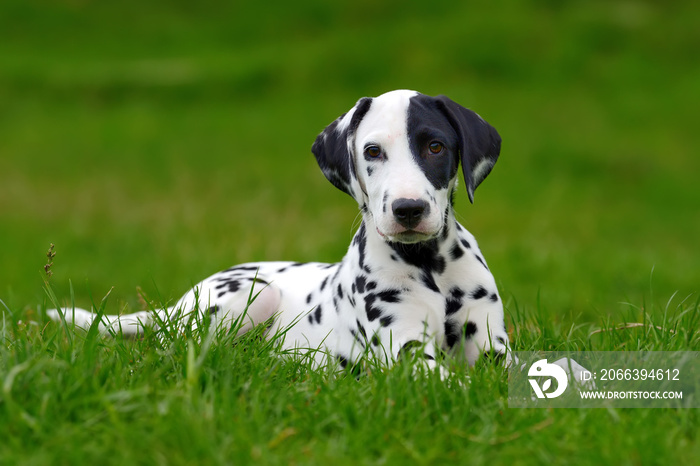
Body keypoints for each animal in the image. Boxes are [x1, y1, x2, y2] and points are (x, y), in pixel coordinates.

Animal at [47, 91, 508, 374]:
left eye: (435, 147)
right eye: (373, 151)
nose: (408, 209)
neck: (431, 266)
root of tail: (175, 307)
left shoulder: (490, 347)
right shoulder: (407, 356)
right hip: (250, 295)